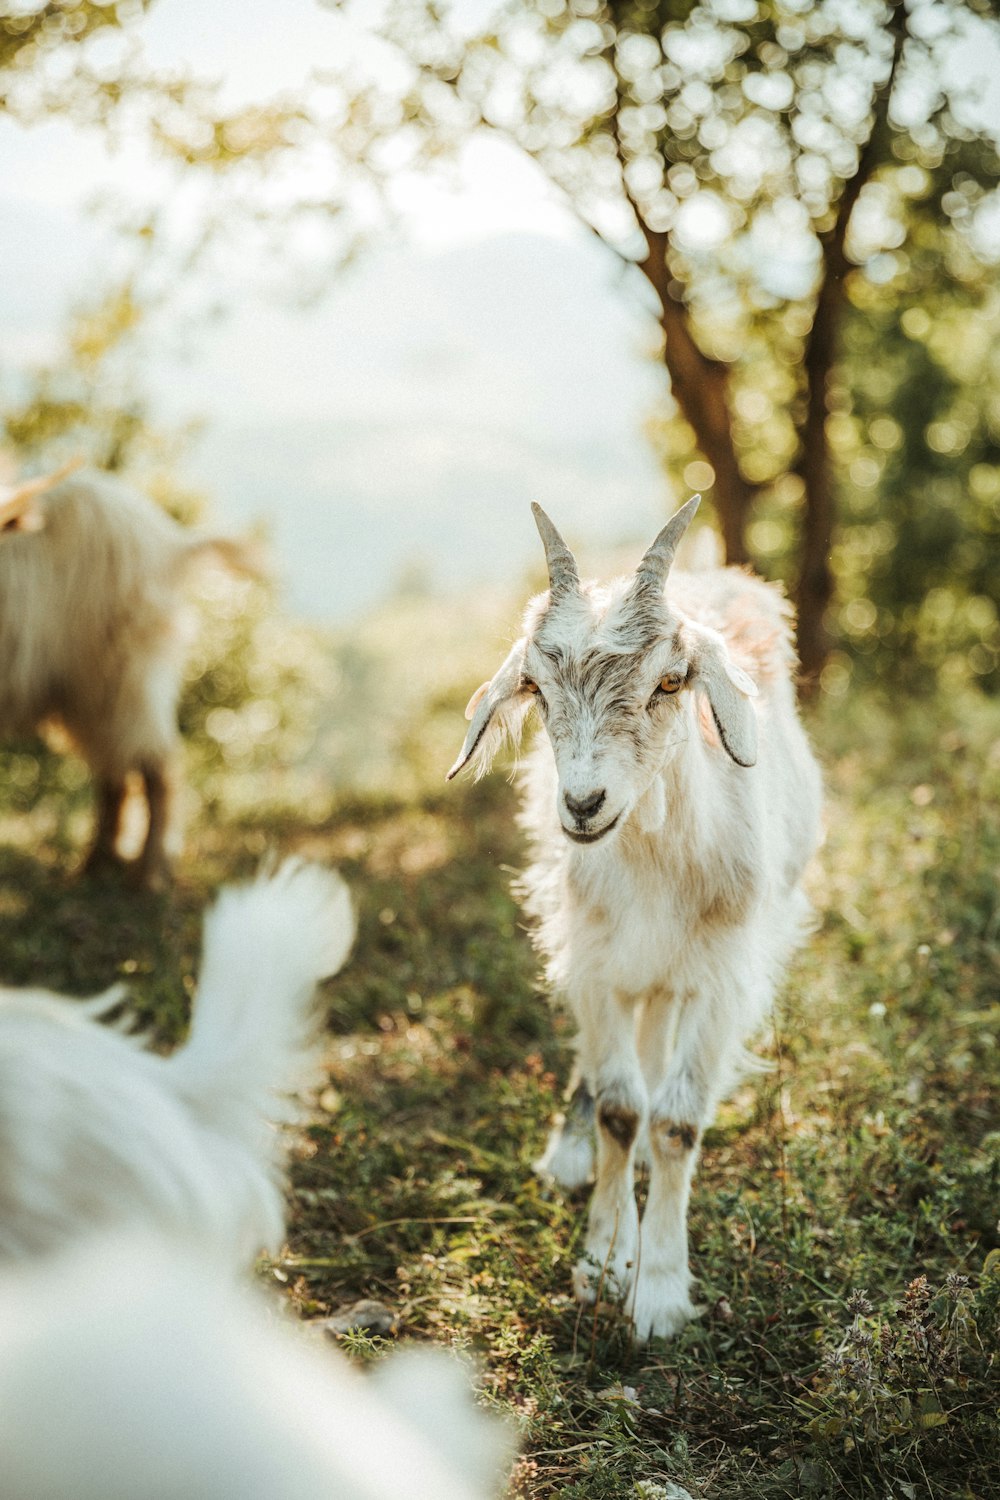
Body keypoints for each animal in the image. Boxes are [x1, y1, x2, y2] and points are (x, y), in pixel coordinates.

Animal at [1, 462, 257, 882]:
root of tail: (172, 543)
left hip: (119, 671)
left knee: (155, 762)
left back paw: (148, 874)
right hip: (91, 687)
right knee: (115, 766)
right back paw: (98, 865)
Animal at [449, 498, 827, 1344]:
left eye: (670, 682)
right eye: (536, 685)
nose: (584, 805)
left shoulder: (721, 975)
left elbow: (678, 1120)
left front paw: (657, 1291)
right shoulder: (592, 962)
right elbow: (623, 1109)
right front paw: (602, 1262)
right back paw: (573, 1153)